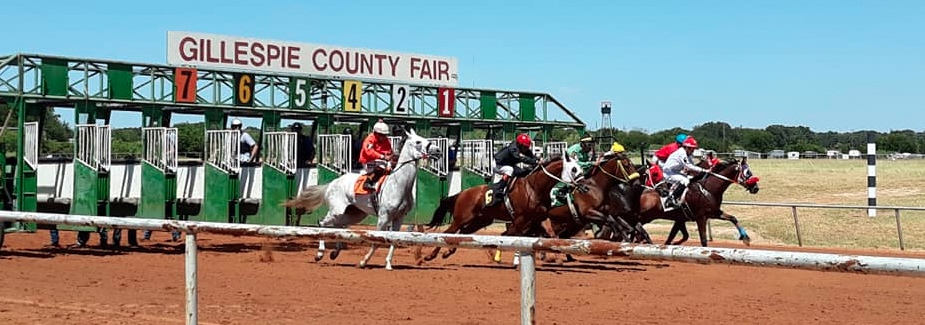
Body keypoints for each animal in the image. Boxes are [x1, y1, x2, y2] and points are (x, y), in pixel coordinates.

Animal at [282, 128, 440, 268]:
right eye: (418, 141)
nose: (438, 151)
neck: (398, 184)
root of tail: (332, 183)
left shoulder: (399, 218)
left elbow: (394, 240)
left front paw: (388, 263)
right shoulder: (383, 217)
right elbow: (377, 241)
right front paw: (364, 261)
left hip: (355, 214)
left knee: (338, 227)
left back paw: (335, 252)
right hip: (336, 210)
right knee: (322, 224)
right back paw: (320, 253)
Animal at [418, 155, 576, 260]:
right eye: (574, 169)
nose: (580, 185)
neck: (534, 187)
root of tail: (462, 193)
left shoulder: (537, 219)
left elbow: (548, 234)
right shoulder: (520, 220)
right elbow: (506, 235)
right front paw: (494, 253)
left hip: (480, 220)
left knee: (462, 234)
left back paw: (448, 251)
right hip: (461, 218)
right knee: (448, 233)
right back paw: (431, 255)